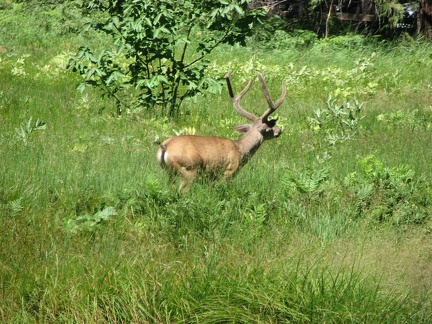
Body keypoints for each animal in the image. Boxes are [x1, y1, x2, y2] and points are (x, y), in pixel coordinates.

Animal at [156, 70, 286, 191]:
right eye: (270, 127)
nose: (279, 130)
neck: (240, 149)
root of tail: (165, 147)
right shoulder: (229, 171)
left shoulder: (210, 178)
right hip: (189, 169)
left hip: (169, 173)